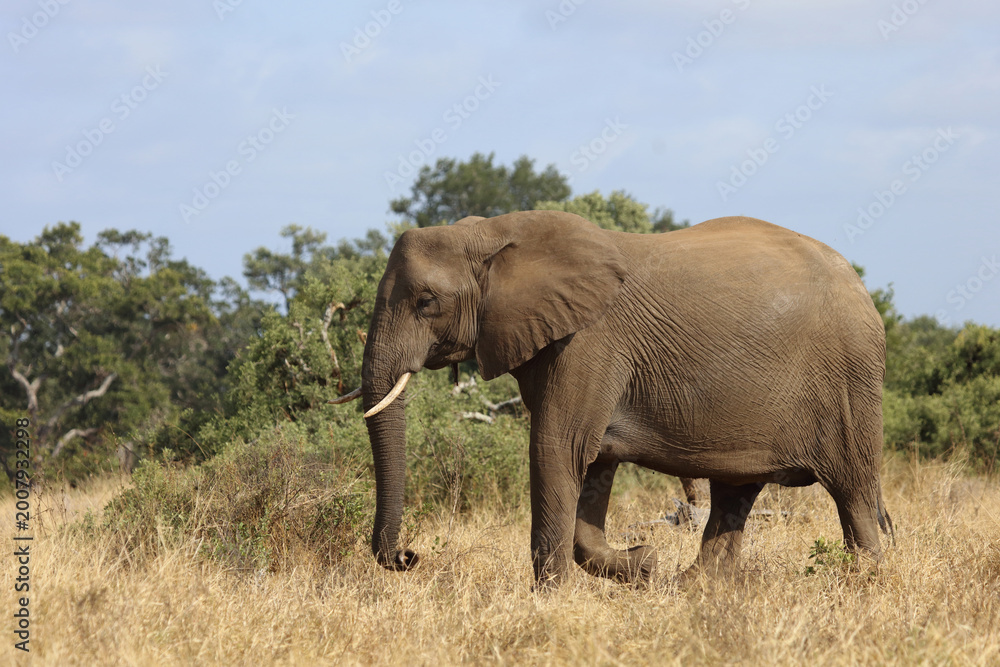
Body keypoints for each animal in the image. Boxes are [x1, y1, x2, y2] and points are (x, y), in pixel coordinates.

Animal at [332, 211, 893, 587]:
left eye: (426, 302)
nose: (409, 556)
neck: (491, 232)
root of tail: (859, 282)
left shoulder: (590, 341)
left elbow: (556, 448)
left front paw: (552, 599)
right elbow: (592, 460)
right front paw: (642, 563)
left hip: (850, 380)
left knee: (852, 490)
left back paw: (865, 581)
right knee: (736, 491)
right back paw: (694, 588)